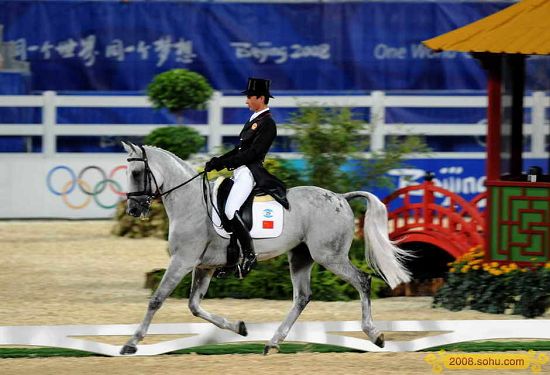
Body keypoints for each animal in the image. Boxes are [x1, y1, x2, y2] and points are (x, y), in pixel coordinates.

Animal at [122, 142, 414, 356]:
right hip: (301, 256)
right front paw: (240, 328)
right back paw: (273, 342)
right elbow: (194, 306)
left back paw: (375, 335)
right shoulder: (203, 266)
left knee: (362, 281)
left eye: (136, 173)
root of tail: (341, 198)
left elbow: (157, 299)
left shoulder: (182, 260)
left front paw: (131, 343)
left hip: (329, 256)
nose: (133, 209)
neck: (191, 202)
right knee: (302, 297)